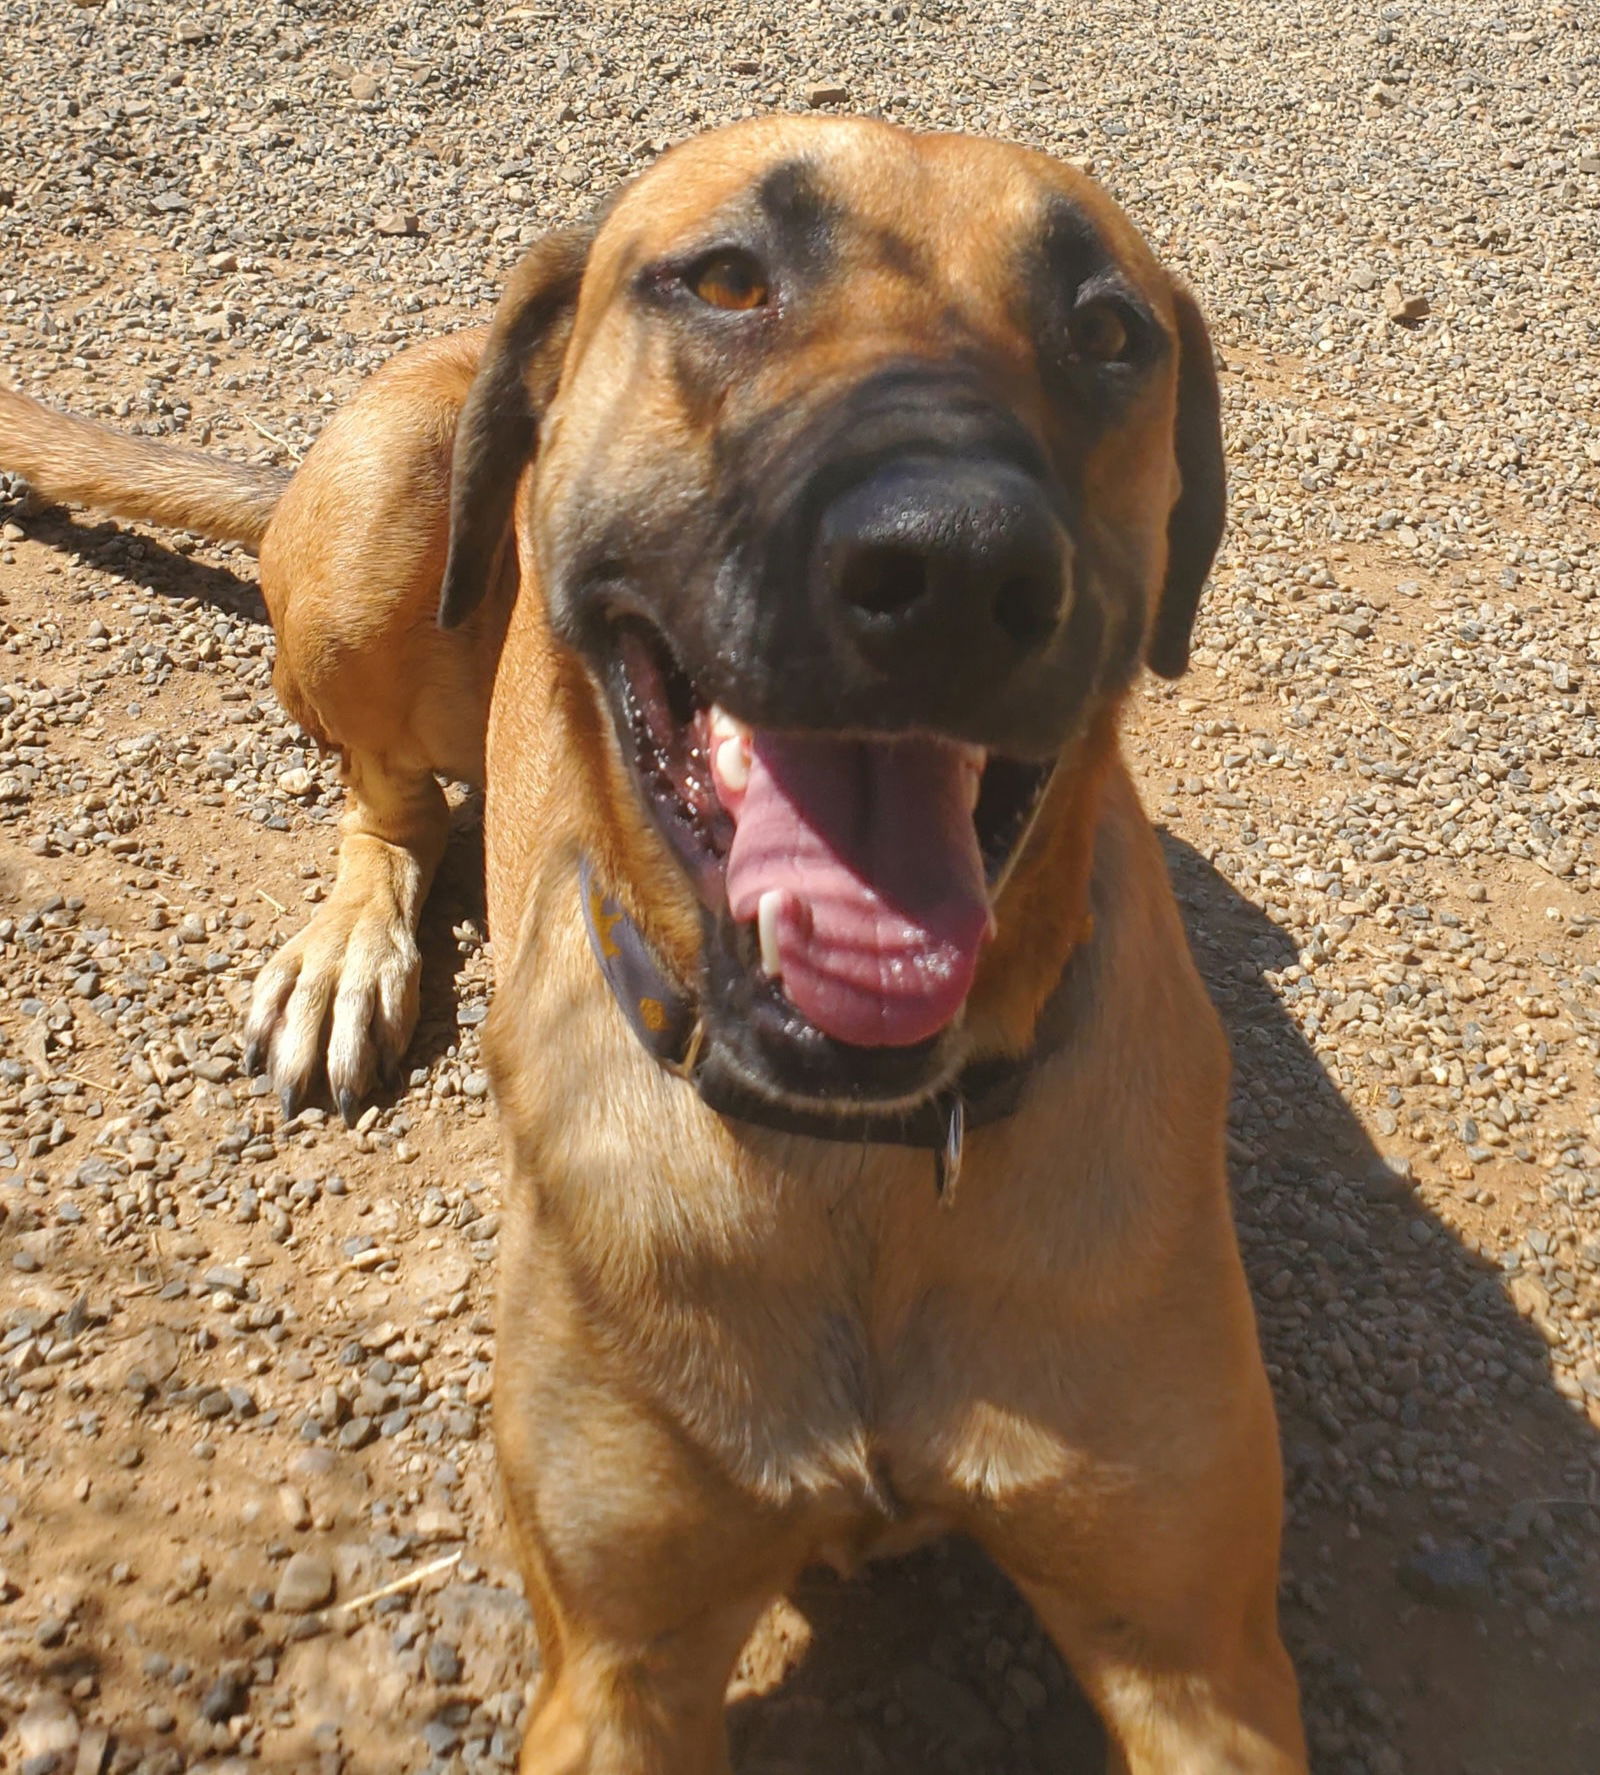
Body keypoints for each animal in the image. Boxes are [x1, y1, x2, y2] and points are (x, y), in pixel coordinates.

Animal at [3, 118, 1314, 1767]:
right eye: (728, 278)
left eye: (1108, 333)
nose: (955, 563)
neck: (856, 1157)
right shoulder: (622, 1656)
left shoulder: (1202, 1657)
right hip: (382, 505)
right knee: (387, 799)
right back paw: (348, 951)